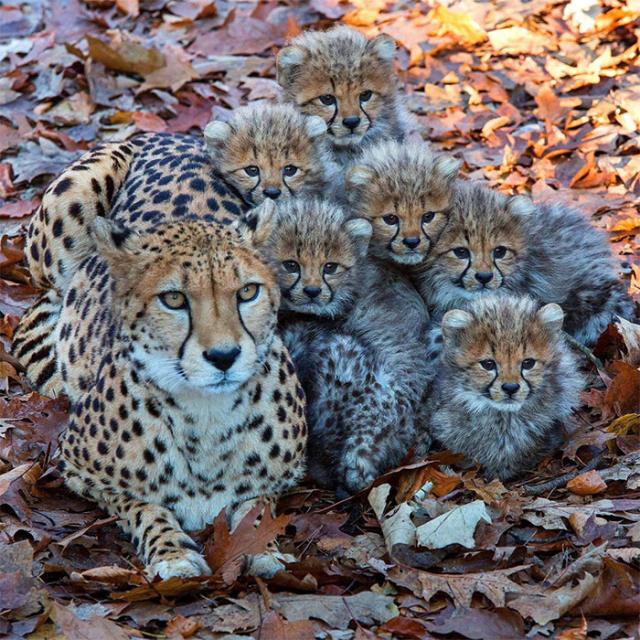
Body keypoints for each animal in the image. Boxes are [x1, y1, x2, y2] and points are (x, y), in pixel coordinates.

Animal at [56, 217, 306, 579]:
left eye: (247, 292)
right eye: (173, 298)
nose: (223, 356)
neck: (208, 413)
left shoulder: (280, 479)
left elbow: (256, 510)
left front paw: (262, 549)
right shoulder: (78, 469)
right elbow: (144, 505)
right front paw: (173, 554)